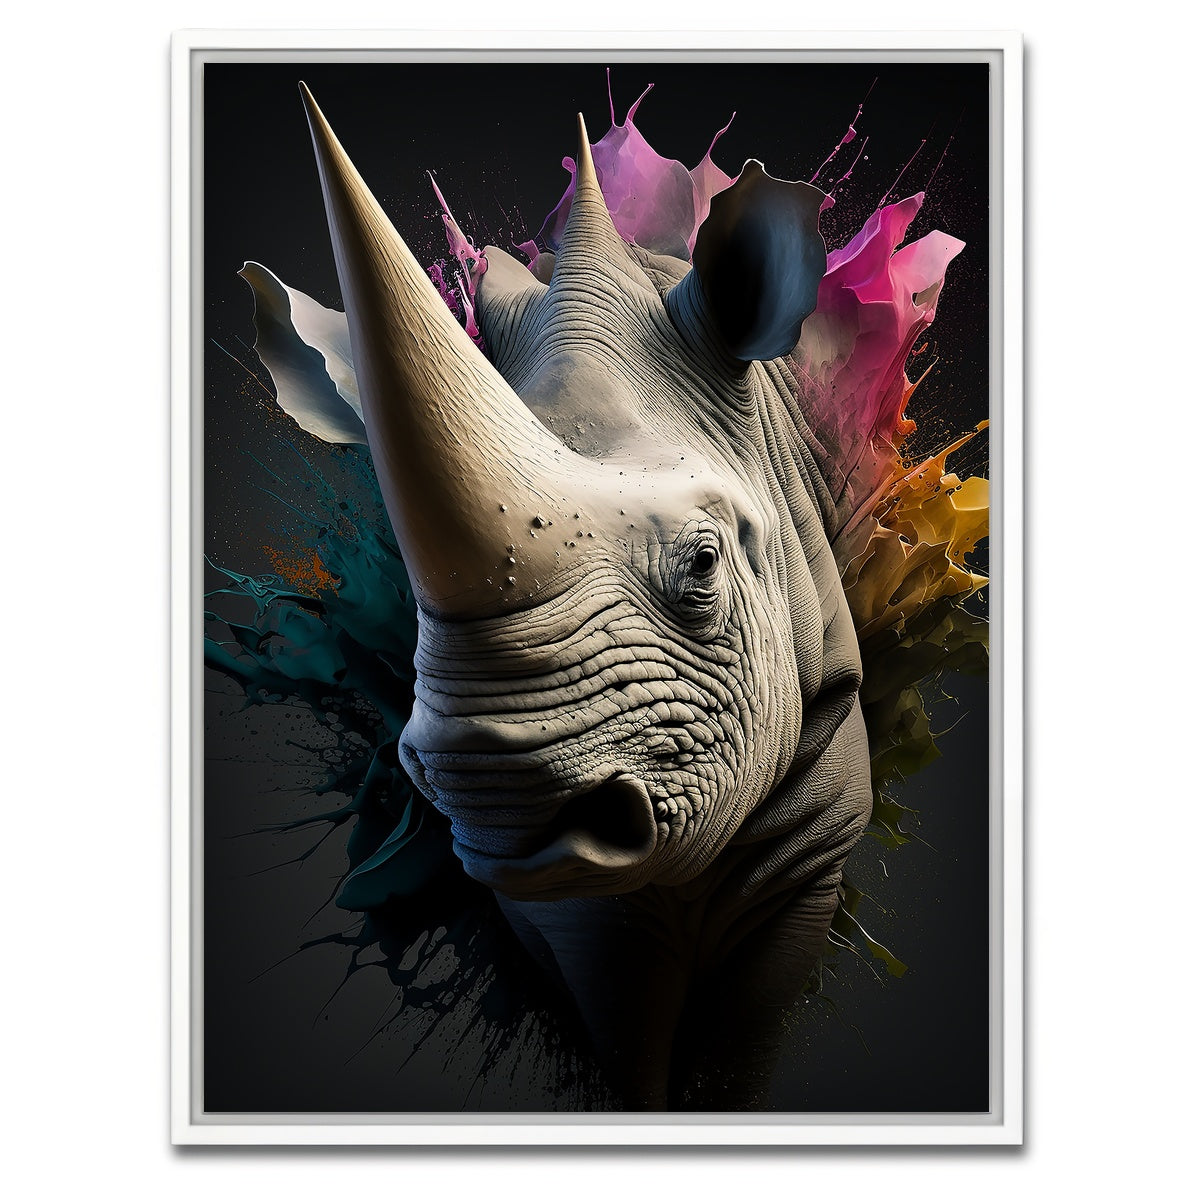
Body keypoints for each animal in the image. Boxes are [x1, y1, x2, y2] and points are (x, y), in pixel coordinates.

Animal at [297, 83, 876, 1111]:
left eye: (705, 565)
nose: (498, 791)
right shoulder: (570, 907)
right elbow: (623, 1021)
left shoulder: (814, 841)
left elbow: (744, 1041)